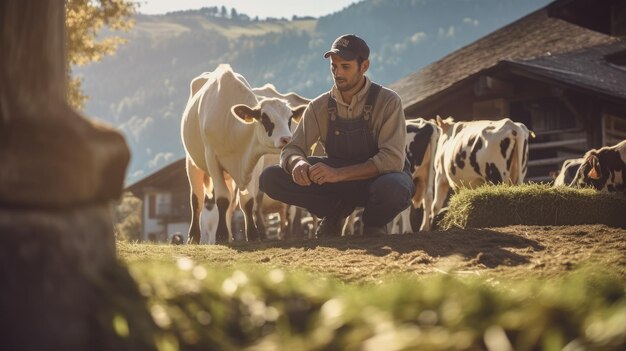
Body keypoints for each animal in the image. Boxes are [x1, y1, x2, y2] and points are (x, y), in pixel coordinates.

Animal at [179, 64, 306, 243]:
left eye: (289, 119)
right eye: (264, 118)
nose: (287, 139)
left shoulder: (255, 161)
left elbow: (248, 201)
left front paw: (252, 234)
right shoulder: (212, 160)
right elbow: (221, 199)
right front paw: (221, 234)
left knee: (232, 205)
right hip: (192, 163)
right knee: (197, 199)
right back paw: (194, 236)